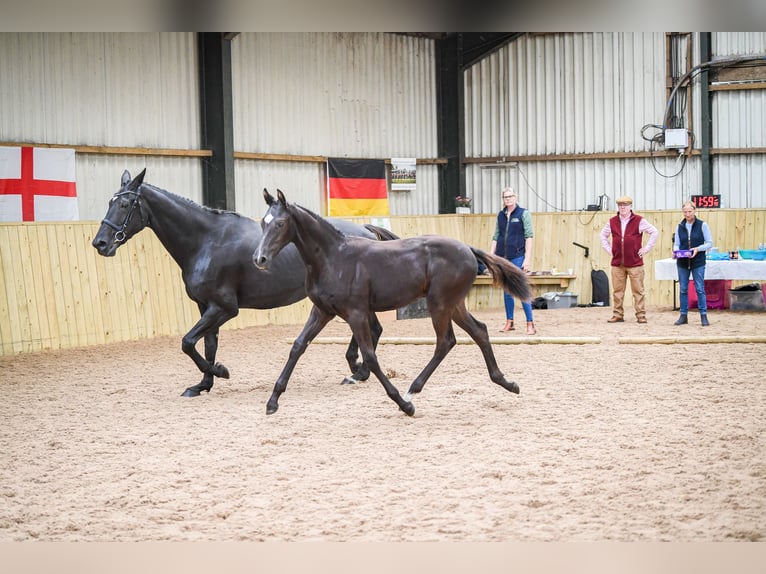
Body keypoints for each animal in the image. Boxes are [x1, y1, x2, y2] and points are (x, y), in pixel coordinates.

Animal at [93, 169, 400, 398]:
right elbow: (207, 345)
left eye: (124, 204)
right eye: (109, 202)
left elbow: (188, 342)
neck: (206, 241)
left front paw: (220, 371)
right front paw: (203, 384)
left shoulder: (224, 308)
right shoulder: (206, 306)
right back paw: (358, 370)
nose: (100, 243)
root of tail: (364, 230)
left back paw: (358, 372)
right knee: (374, 329)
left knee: (373, 329)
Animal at [255, 191, 532, 416]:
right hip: (454, 305)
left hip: (440, 304)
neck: (334, 258)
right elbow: (298, 346)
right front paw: (273, 401)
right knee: (479, 331)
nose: (259, 258)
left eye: (280, 223)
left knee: (445, 342)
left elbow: (370, 356)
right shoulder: (322, 311)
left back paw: (412, 391)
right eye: (262, 222)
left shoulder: (355, 313)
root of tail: (467, 248)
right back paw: (507, 383)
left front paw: (403, 404)